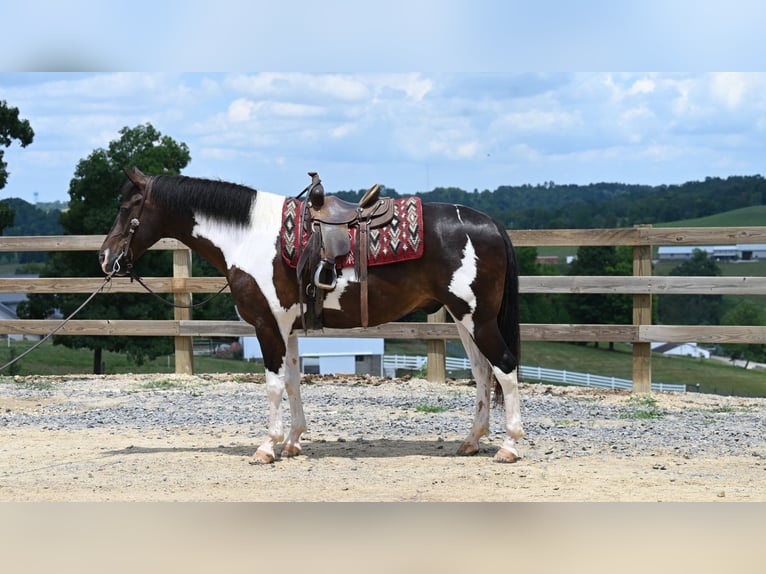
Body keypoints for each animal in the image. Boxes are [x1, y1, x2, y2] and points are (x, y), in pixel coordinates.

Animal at [99, 169, 524, 466]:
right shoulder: (286, 328)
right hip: (463, 319)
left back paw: (508, 446)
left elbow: (273, 385)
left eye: (126, 208)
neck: (249, 237)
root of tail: (492, 225)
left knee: (504, 368)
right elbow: (292, 381)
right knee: (482, 373)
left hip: (477, 319)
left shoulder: (267, 325)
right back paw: (472, 441)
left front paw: (267, 447)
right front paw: (292, 442)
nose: (105, 258)